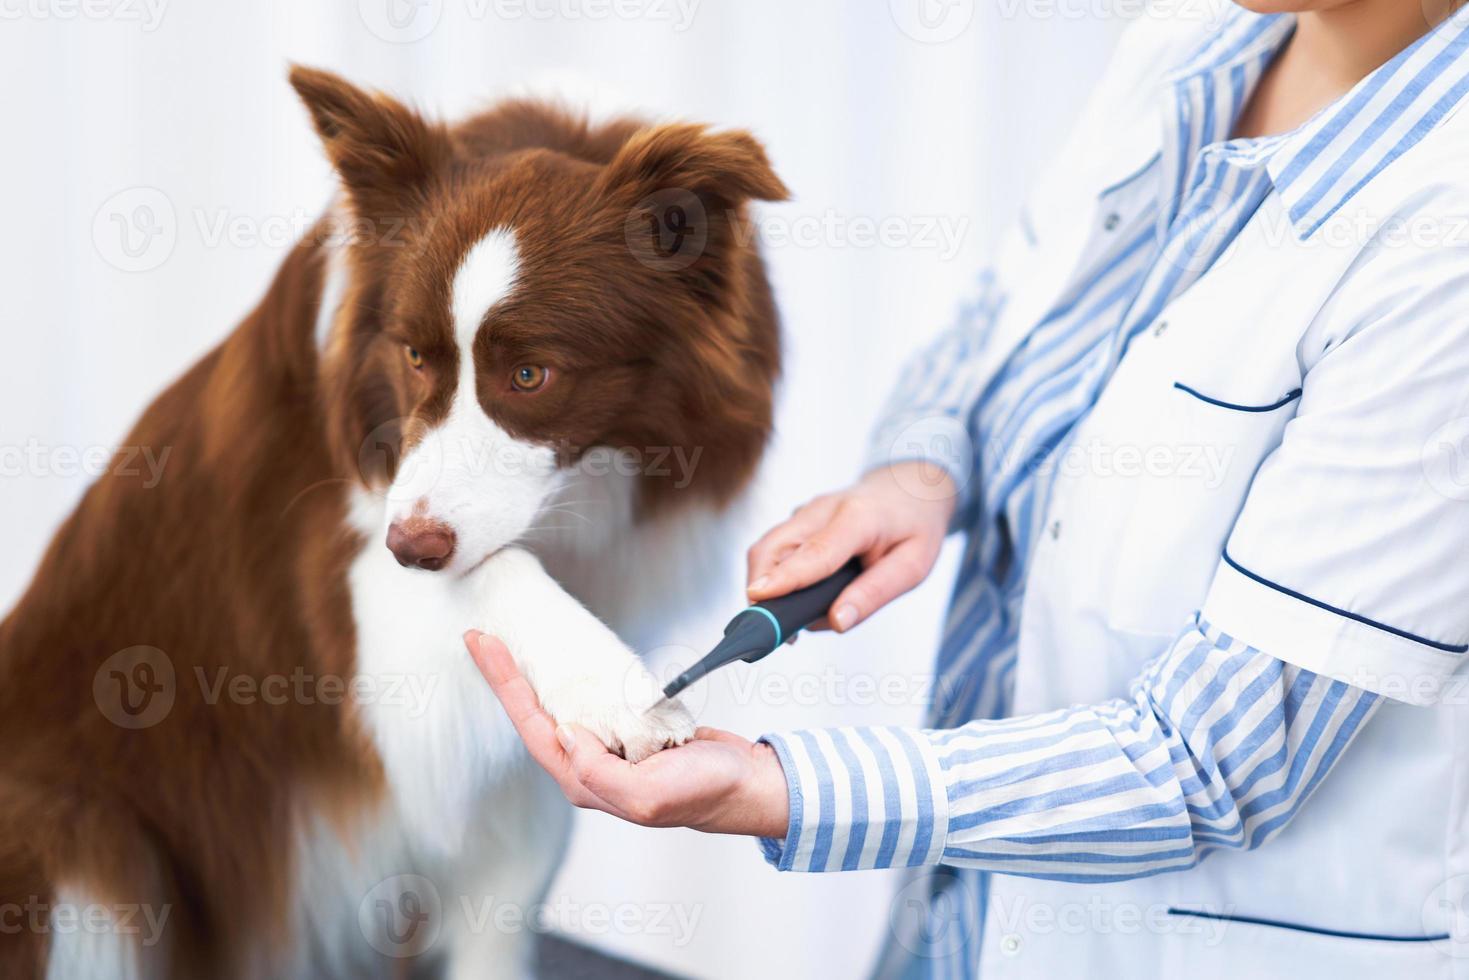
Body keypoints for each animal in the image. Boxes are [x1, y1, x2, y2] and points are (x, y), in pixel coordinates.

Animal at [0, 69, 793, 980]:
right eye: (414, 356)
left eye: (531, 374)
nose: (411, 547)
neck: (582, 487)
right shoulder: (348, 583)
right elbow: (488, 570)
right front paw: (622, 693)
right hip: (69, 832)